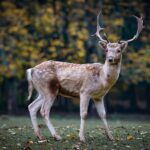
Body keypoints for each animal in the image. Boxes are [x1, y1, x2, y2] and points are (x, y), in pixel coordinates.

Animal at [26, 12, 143, 143]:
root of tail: (31, 70)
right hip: (49, 88)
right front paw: (82, 138)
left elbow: (103, 114)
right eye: (107, 50)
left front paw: (111, 137)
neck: (102, 80)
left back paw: (40, 136)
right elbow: (84, 114)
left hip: (42, 91)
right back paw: (57, 136)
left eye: (118, 50)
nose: (110, 59)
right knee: (44, 110)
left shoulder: (99, 96)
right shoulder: (84, 91)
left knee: (32, 106)